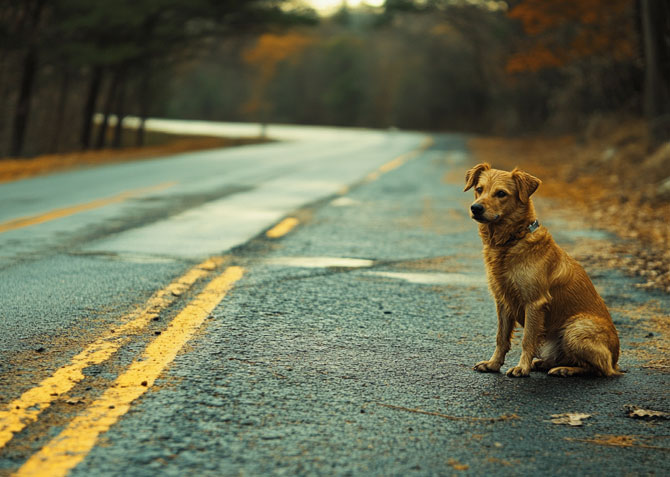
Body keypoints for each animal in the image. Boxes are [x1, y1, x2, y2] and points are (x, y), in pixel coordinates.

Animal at [464, 162, 624, 378]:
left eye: (501, 193)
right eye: (479, 189)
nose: (476, 208)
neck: (512, 241)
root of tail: (616, 359)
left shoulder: (534, 302)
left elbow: (527, 340)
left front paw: (522, 368)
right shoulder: (503, 301)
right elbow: (501, 338)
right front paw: (493, 364)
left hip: (575, 328)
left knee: (600, 368)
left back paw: (565, 369)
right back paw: (543, 363)